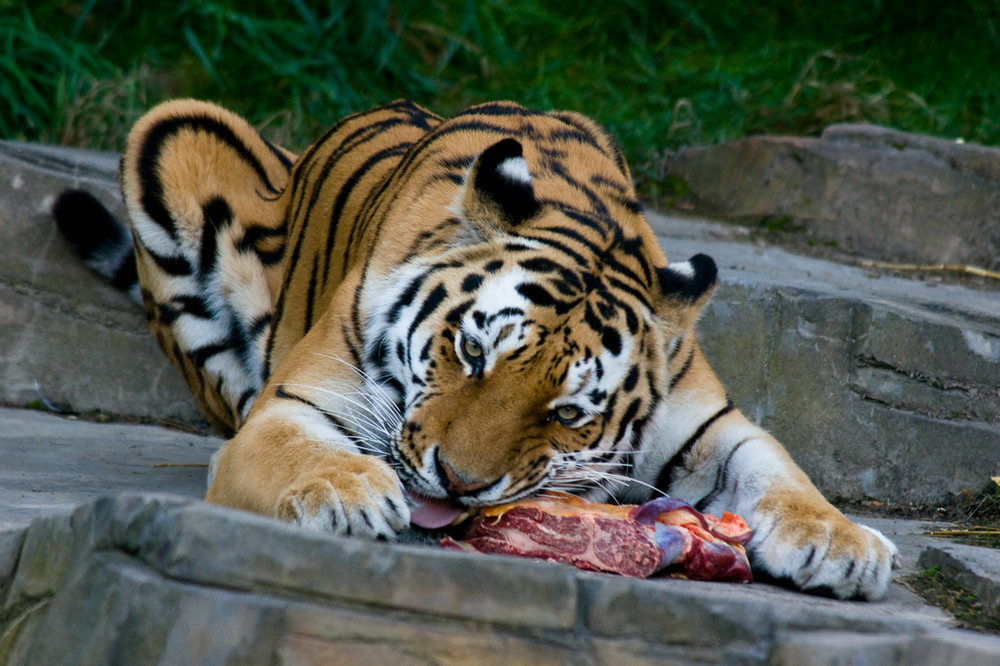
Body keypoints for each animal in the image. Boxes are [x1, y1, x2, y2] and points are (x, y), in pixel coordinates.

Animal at [52, 97, 900, 596]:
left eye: (567, 413)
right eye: (470, 352)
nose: (457, 483)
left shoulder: (710, 424)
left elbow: (777, 469)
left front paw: (842, 542)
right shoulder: (291, 406)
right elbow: (300, 449)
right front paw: (349, 494)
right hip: (172, 129)